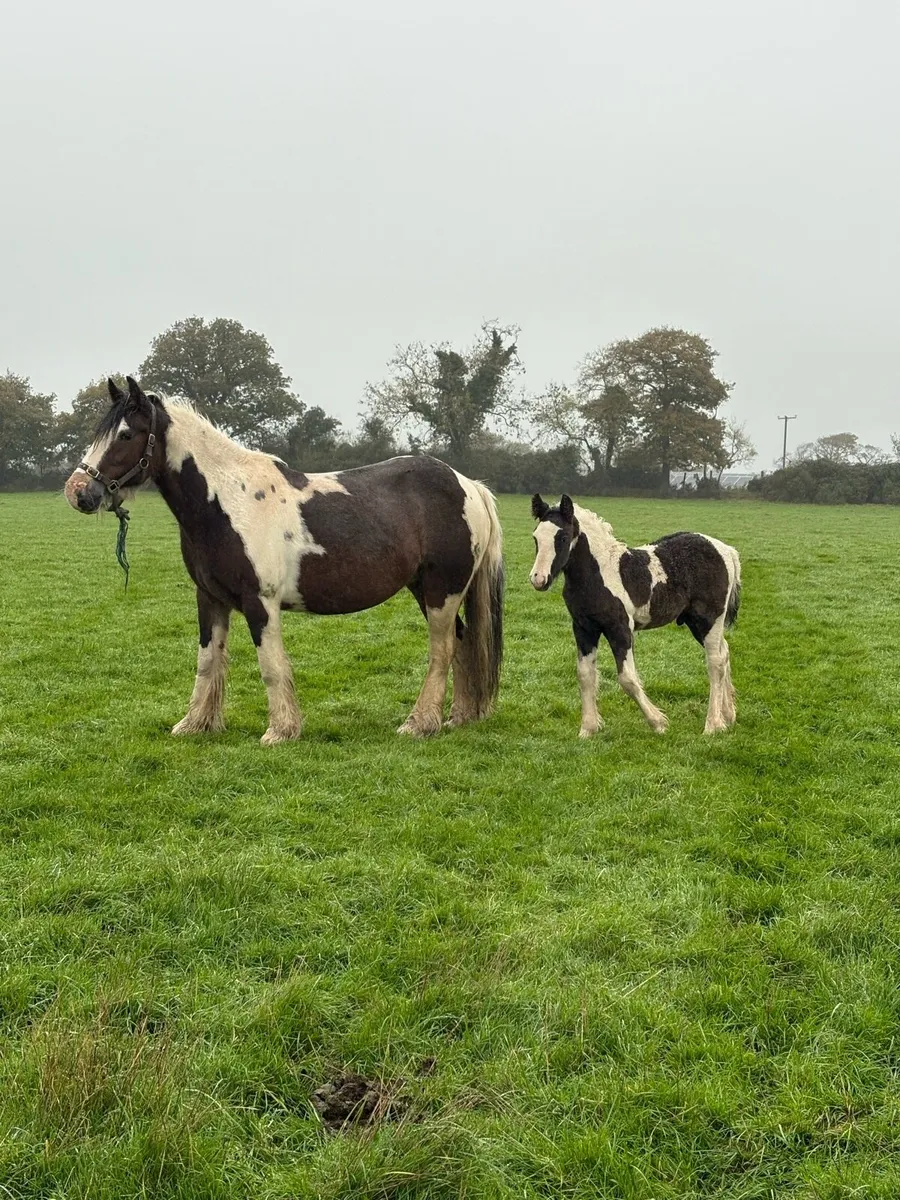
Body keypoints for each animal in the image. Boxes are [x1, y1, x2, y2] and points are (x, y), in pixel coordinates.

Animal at [64, 377, 504, 744]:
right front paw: (195, 724)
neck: (227, 502)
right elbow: (208, 660)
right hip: (428, 590)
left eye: (125, 434)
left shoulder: (261, 603)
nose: (78, 491)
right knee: (462, 642)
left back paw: (419, 723)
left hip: (441, 591)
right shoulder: (209, 598)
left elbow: (271, 666)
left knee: (441, 650)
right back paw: (458, 717)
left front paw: (280, 731)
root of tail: (469, 485)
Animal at [529, 493, 741, 736]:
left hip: (709, 619)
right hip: (696, 623)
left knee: (715, 662)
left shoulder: (620, 629)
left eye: (562, 537)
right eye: (536, 537)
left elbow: (627, 679)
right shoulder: (584, 628)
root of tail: (726, 550)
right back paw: (728, 715)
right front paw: (588, 729)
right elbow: (585, 675)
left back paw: (713, 725)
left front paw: (658, 722)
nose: (538, 579)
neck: (598, 574)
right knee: (724, 653)